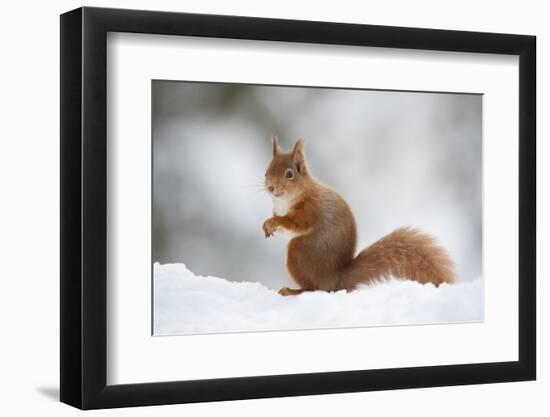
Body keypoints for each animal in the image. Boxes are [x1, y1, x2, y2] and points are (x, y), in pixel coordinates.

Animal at [264, 135, 458, 294]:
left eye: (289, 174)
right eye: (266, 171)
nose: (270, 187)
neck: (286, 199)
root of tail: (335, 279)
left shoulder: (310, 209)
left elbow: (297, 223)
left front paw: (274, 221)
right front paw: (268, 225)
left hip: (299, 252)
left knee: (314, 288)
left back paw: (293, 291)